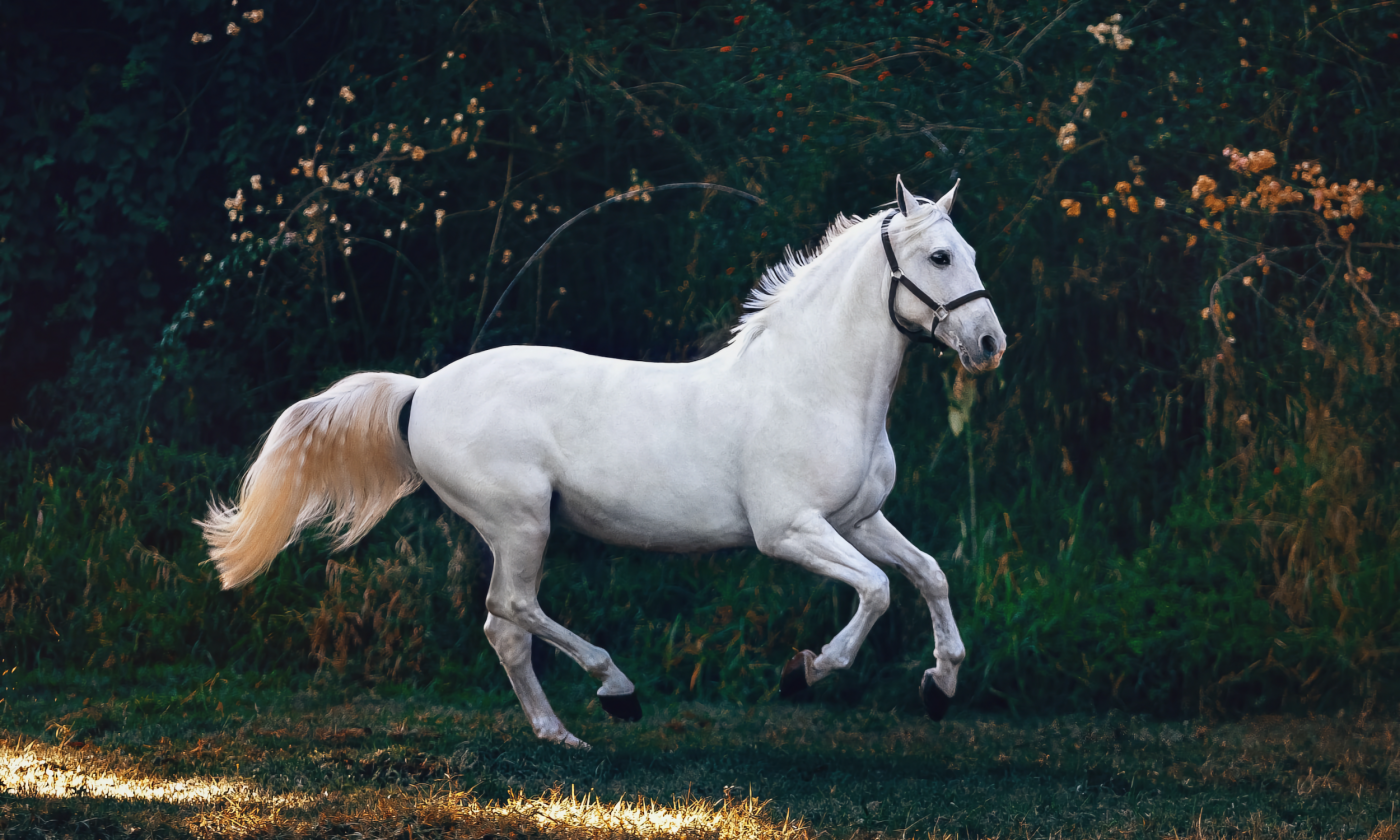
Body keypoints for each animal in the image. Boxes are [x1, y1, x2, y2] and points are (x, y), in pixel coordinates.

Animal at [200, 175, 1008, 750]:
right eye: (940, 257)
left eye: (971, 254)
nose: (989, 343)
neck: (812, 384)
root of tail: (421, 390)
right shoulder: (790, 531)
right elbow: (877, 591)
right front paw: (804, 672)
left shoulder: (859, 518)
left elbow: (928, 574)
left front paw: (939, 686)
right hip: (521, 523)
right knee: (512, 610)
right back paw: (615, 690)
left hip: (515, 530)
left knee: (503, 629)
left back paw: (560, 733)